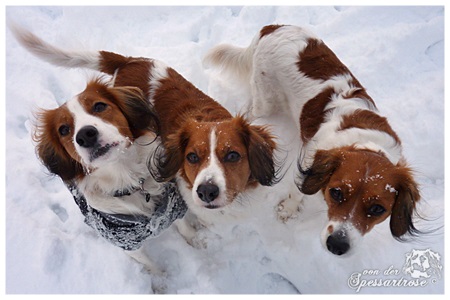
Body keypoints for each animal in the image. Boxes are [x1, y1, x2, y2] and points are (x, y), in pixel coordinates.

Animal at [204, 24, 422, 256]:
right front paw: (288, 211)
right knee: (250, 109)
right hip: (266, 99)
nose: (337, 245)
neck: (365, 142)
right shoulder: (307, 165)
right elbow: (297, 193)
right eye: (337, 193)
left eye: (377, 209)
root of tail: (272, 27)